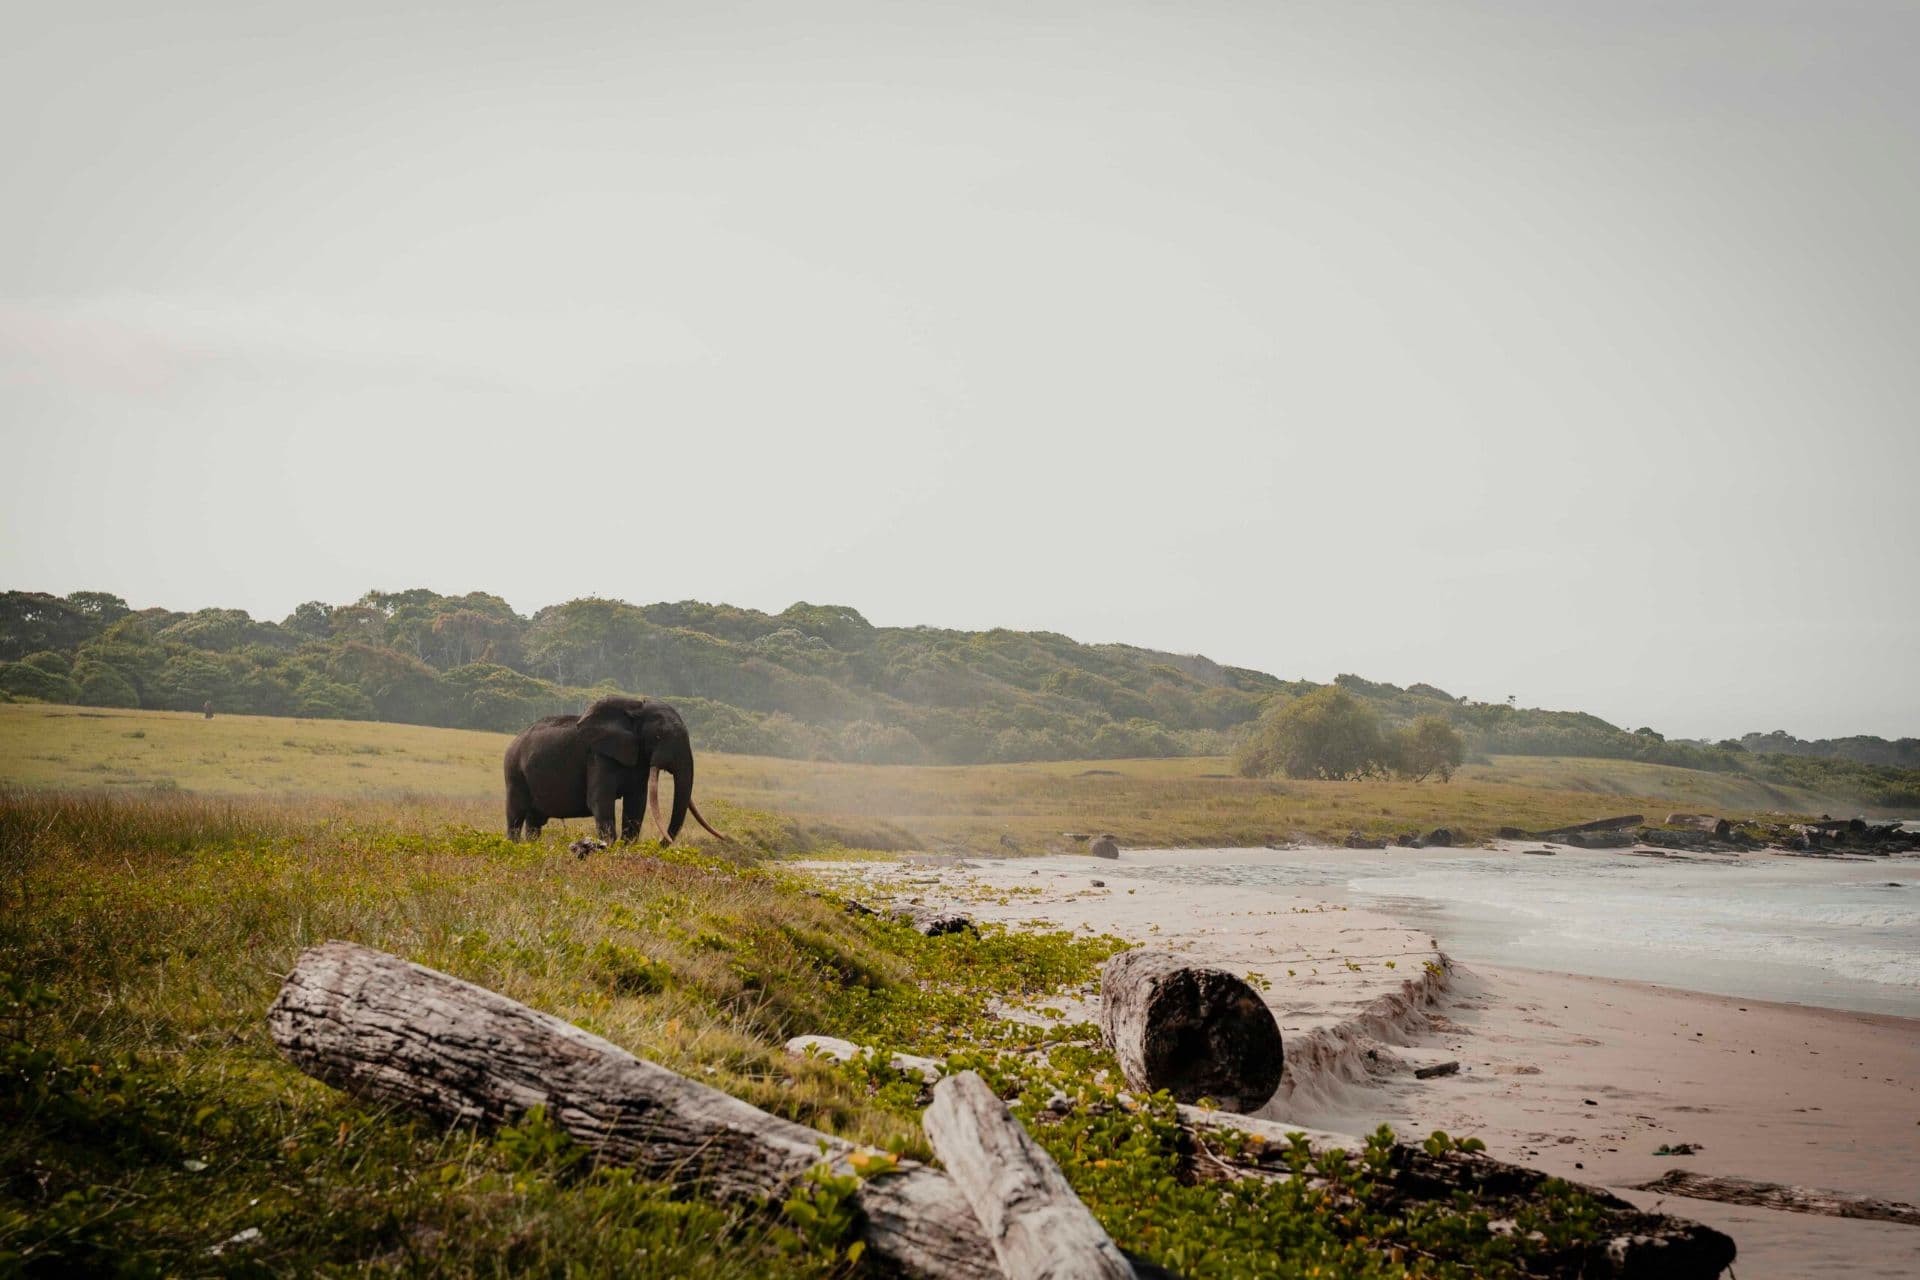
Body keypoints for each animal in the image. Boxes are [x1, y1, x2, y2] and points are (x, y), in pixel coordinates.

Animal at [503, 695, 727, 846]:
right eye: (659, 736)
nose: (662, 843)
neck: (634, 709)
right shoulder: (598, 756)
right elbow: (599, 800)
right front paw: (609, 848)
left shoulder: (638, 758)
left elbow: (636, 802)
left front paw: (626, 848)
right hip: (514, 772)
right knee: (516, 816)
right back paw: (516, 846)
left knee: (534, 821)